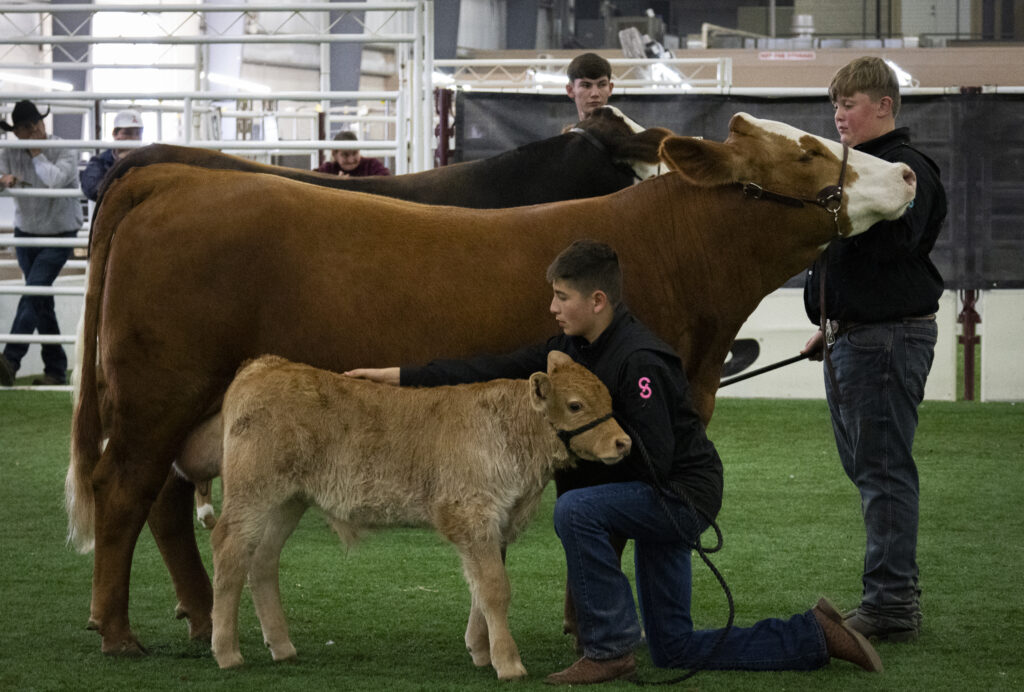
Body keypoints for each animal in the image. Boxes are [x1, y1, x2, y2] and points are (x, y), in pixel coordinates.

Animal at [179, 348, 626, 679]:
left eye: (608, 399)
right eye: (575, 405)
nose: (623, 442)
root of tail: (267, 364)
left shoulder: (495, 524)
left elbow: (481, 588)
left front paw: (480, 649)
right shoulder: (472, 514)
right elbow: (496, 588)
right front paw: (509, 663)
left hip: (287, 501)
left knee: (262, 560)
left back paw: (282, 646)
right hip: (253, 494)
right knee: (229, 550)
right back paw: (227, 651)